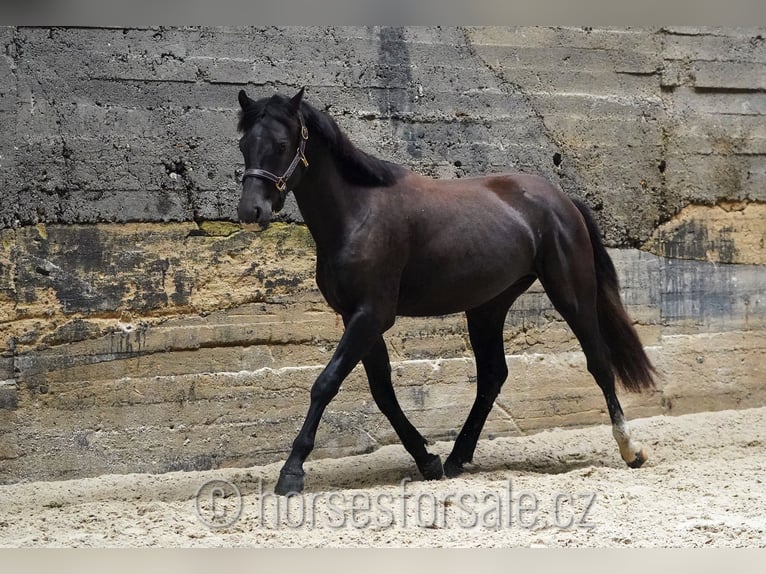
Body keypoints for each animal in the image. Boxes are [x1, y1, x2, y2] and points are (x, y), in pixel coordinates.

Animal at [237, 88, 656, 498]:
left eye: (281, 144)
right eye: (243, 143)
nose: (250, 211)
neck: (358, 213)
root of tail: (563, 201)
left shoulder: (371, 315)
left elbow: (325, 384)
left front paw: (291, 472)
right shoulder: (360, 318)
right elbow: (382, 392)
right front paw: (427, 460)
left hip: (572, 295)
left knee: (598, 362)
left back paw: (630, 449)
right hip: (487, 308)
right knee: (492, 376)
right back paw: (457, 458)